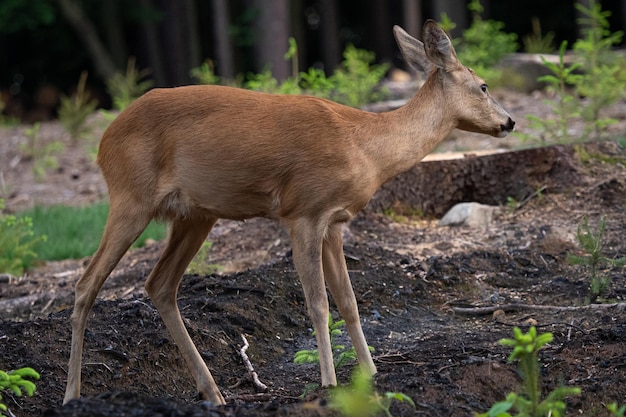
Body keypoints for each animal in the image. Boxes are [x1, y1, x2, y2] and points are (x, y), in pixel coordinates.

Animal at [63, 19, 512, 404]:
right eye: (483, 86)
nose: (509, 122)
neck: (366, 147)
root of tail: (102, 142)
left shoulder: (334, 222)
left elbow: (348, 301)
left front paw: (371, 375)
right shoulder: (303, 212)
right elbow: (317, 304)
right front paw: (329, 383)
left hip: (195, 214)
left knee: (159, 284)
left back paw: (214, 393)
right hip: (130, 197)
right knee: (86, 284)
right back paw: (72, 395)